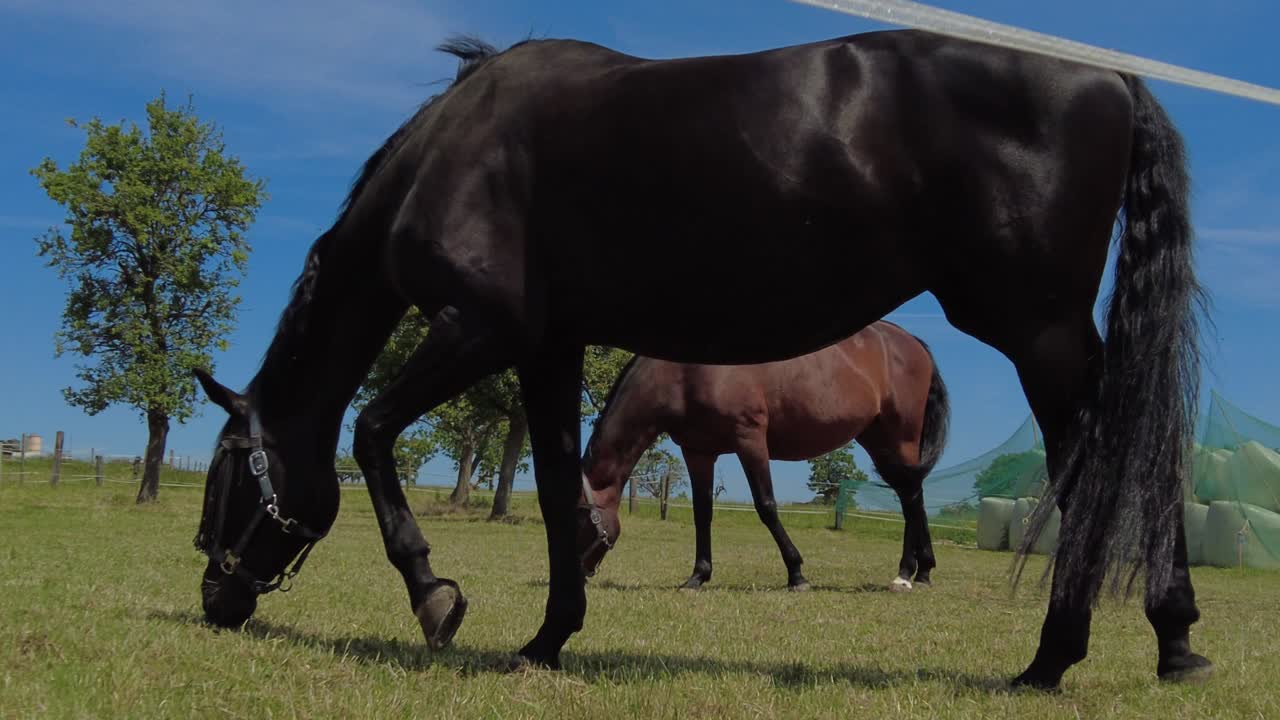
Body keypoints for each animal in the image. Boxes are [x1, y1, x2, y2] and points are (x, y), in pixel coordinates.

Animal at [577, 320, 949, 593]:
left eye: (579, 516)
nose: (577, 576)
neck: (685, 372)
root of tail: (912, 342)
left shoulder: (750, 439)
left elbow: (766, 506)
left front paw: (797, 574)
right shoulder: (698, 452)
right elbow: (702, 513)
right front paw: (697, 576)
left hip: (900, 436)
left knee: (911, 495)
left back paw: (907, 573)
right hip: (877, 438)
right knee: (909, 493)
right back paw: (922, 570)